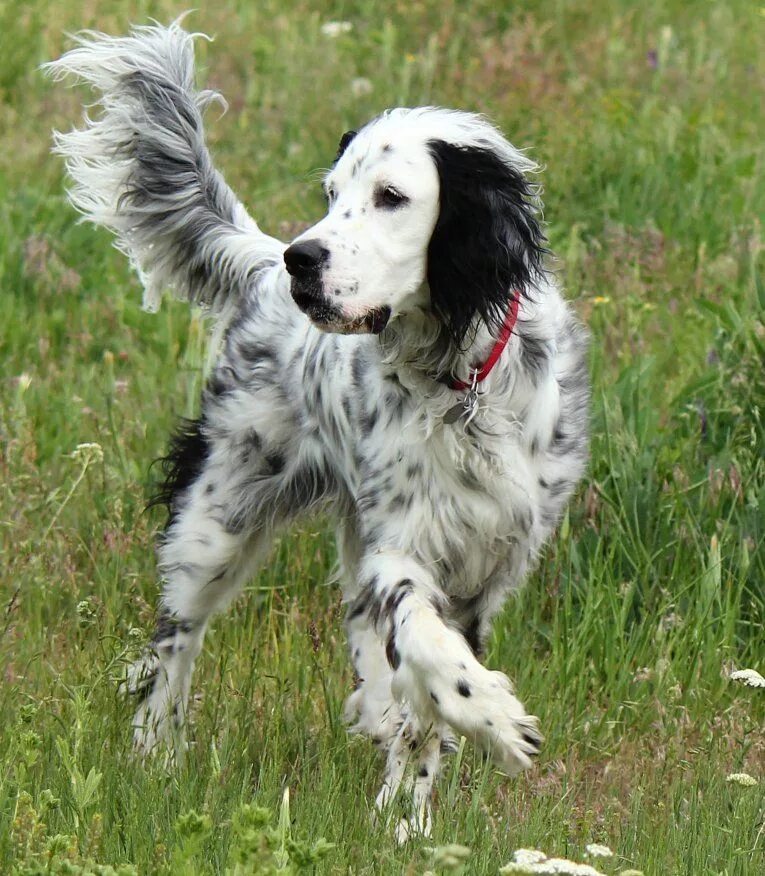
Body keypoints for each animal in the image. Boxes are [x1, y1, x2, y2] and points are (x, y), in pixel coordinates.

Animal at [47, 20, 588, 840]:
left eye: (392, 196)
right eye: (332, 194)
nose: (303, 258)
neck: (459, 386)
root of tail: (259, 268)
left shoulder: (487, 568)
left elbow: (426, 696)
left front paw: (407, 817)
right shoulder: (403, 544)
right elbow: (428, 647)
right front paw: (494, 719)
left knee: (363, 636)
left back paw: (374, 709)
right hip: (218, 519)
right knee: (176, 638)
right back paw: (157, 750)